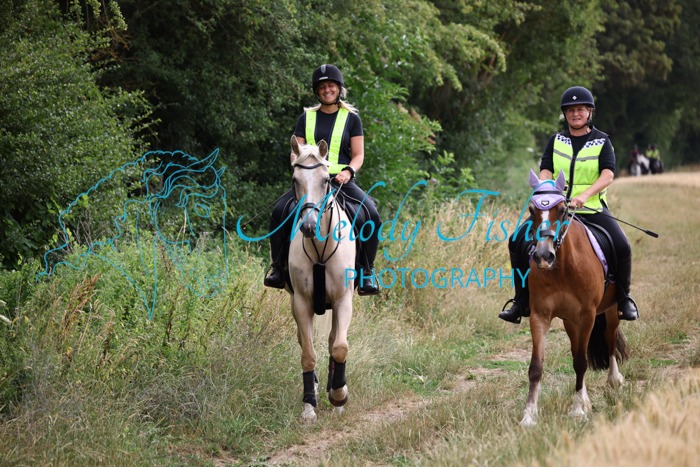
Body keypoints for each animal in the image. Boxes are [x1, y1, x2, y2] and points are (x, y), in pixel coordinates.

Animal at [520, 169, 628, 426]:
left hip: (610, 311)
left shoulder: (588, 315)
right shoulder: (540, 315)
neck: (562, 267)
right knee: (576, 346)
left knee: (609, 339)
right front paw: (529, 415)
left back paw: (614, 380)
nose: (543, 256)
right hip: (570, 321)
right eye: (532, 209)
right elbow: (536, 366)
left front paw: (578, 410)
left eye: (562, 210)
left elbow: (581, 361)